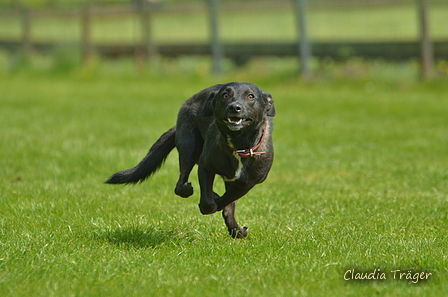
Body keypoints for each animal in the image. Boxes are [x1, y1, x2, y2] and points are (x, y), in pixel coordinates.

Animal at [107, 81, 274, 238]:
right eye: (225, 95)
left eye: (251, 96)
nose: (235, 107)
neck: (238, 146)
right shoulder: (205, 167)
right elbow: (208, 203)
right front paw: (210, 202)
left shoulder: (248, 182)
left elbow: (226, 201)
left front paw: (220, 204)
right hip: (188, 145)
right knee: (180, 184)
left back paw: (236, 230)